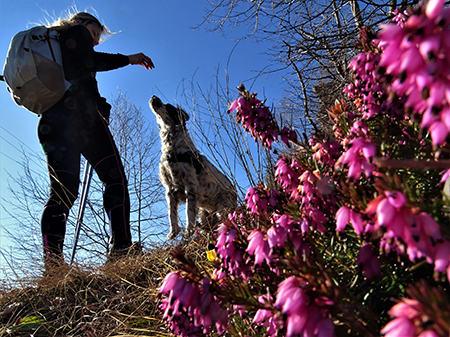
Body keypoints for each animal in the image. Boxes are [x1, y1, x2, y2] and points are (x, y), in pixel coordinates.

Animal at [149, 95, 237, 239]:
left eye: (168, 106)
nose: (154, 96)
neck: (173, 148)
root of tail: (235, 192)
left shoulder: (190, 187)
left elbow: (188, 212)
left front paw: (188, 231)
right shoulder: (169, 190)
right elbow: (171, 214)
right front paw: (173, 232)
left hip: (223, 208)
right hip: (204, 214)